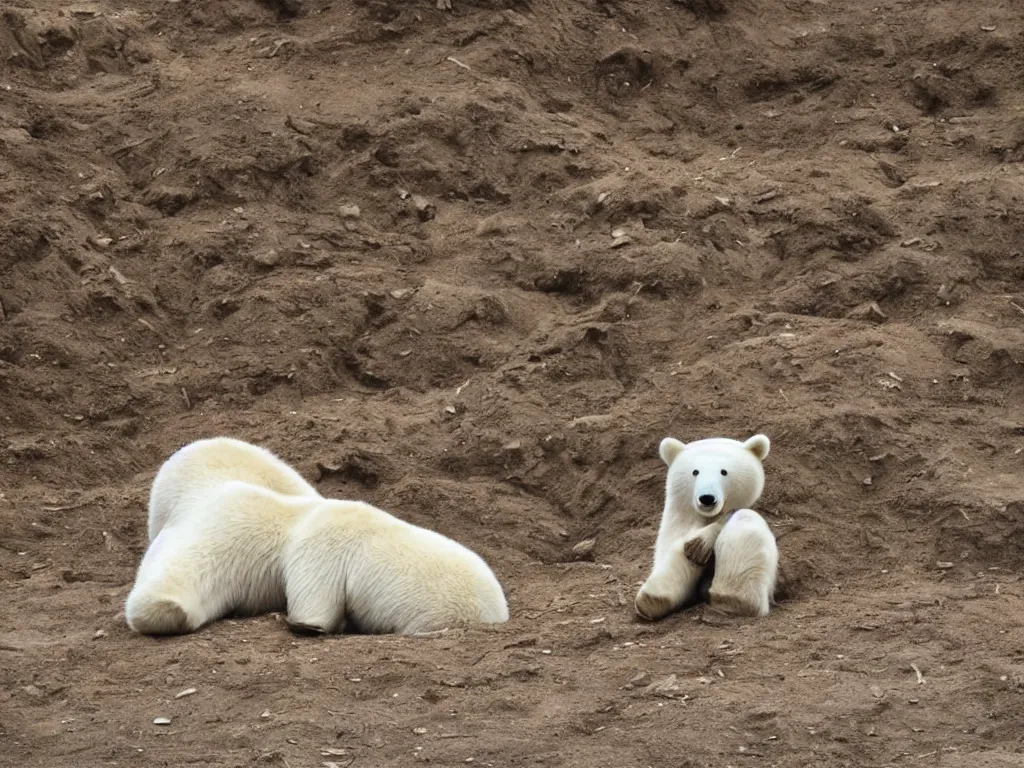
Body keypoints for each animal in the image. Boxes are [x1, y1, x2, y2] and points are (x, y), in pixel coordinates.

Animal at [630, 436, 774, 622]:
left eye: (724, 471)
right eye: (695, 472)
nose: (707, 498)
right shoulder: (678, 520)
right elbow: (677, 549)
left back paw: (734, 598)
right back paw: (653, 599)